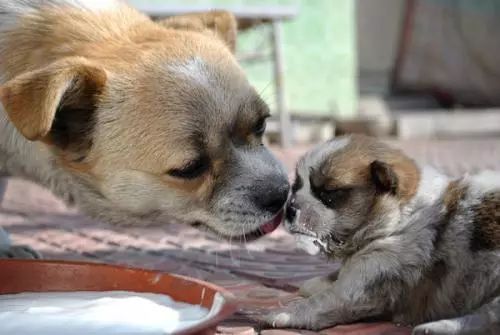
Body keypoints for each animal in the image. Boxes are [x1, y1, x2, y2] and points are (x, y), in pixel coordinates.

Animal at [262, 135, 500, 334]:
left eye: (328, 194)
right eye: (296, 186)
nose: (289, 209)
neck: (397, 219)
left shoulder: (364, 282)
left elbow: (323, 301)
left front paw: (285, 312)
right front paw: (317, 282)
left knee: (489, 318)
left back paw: (437, 328)